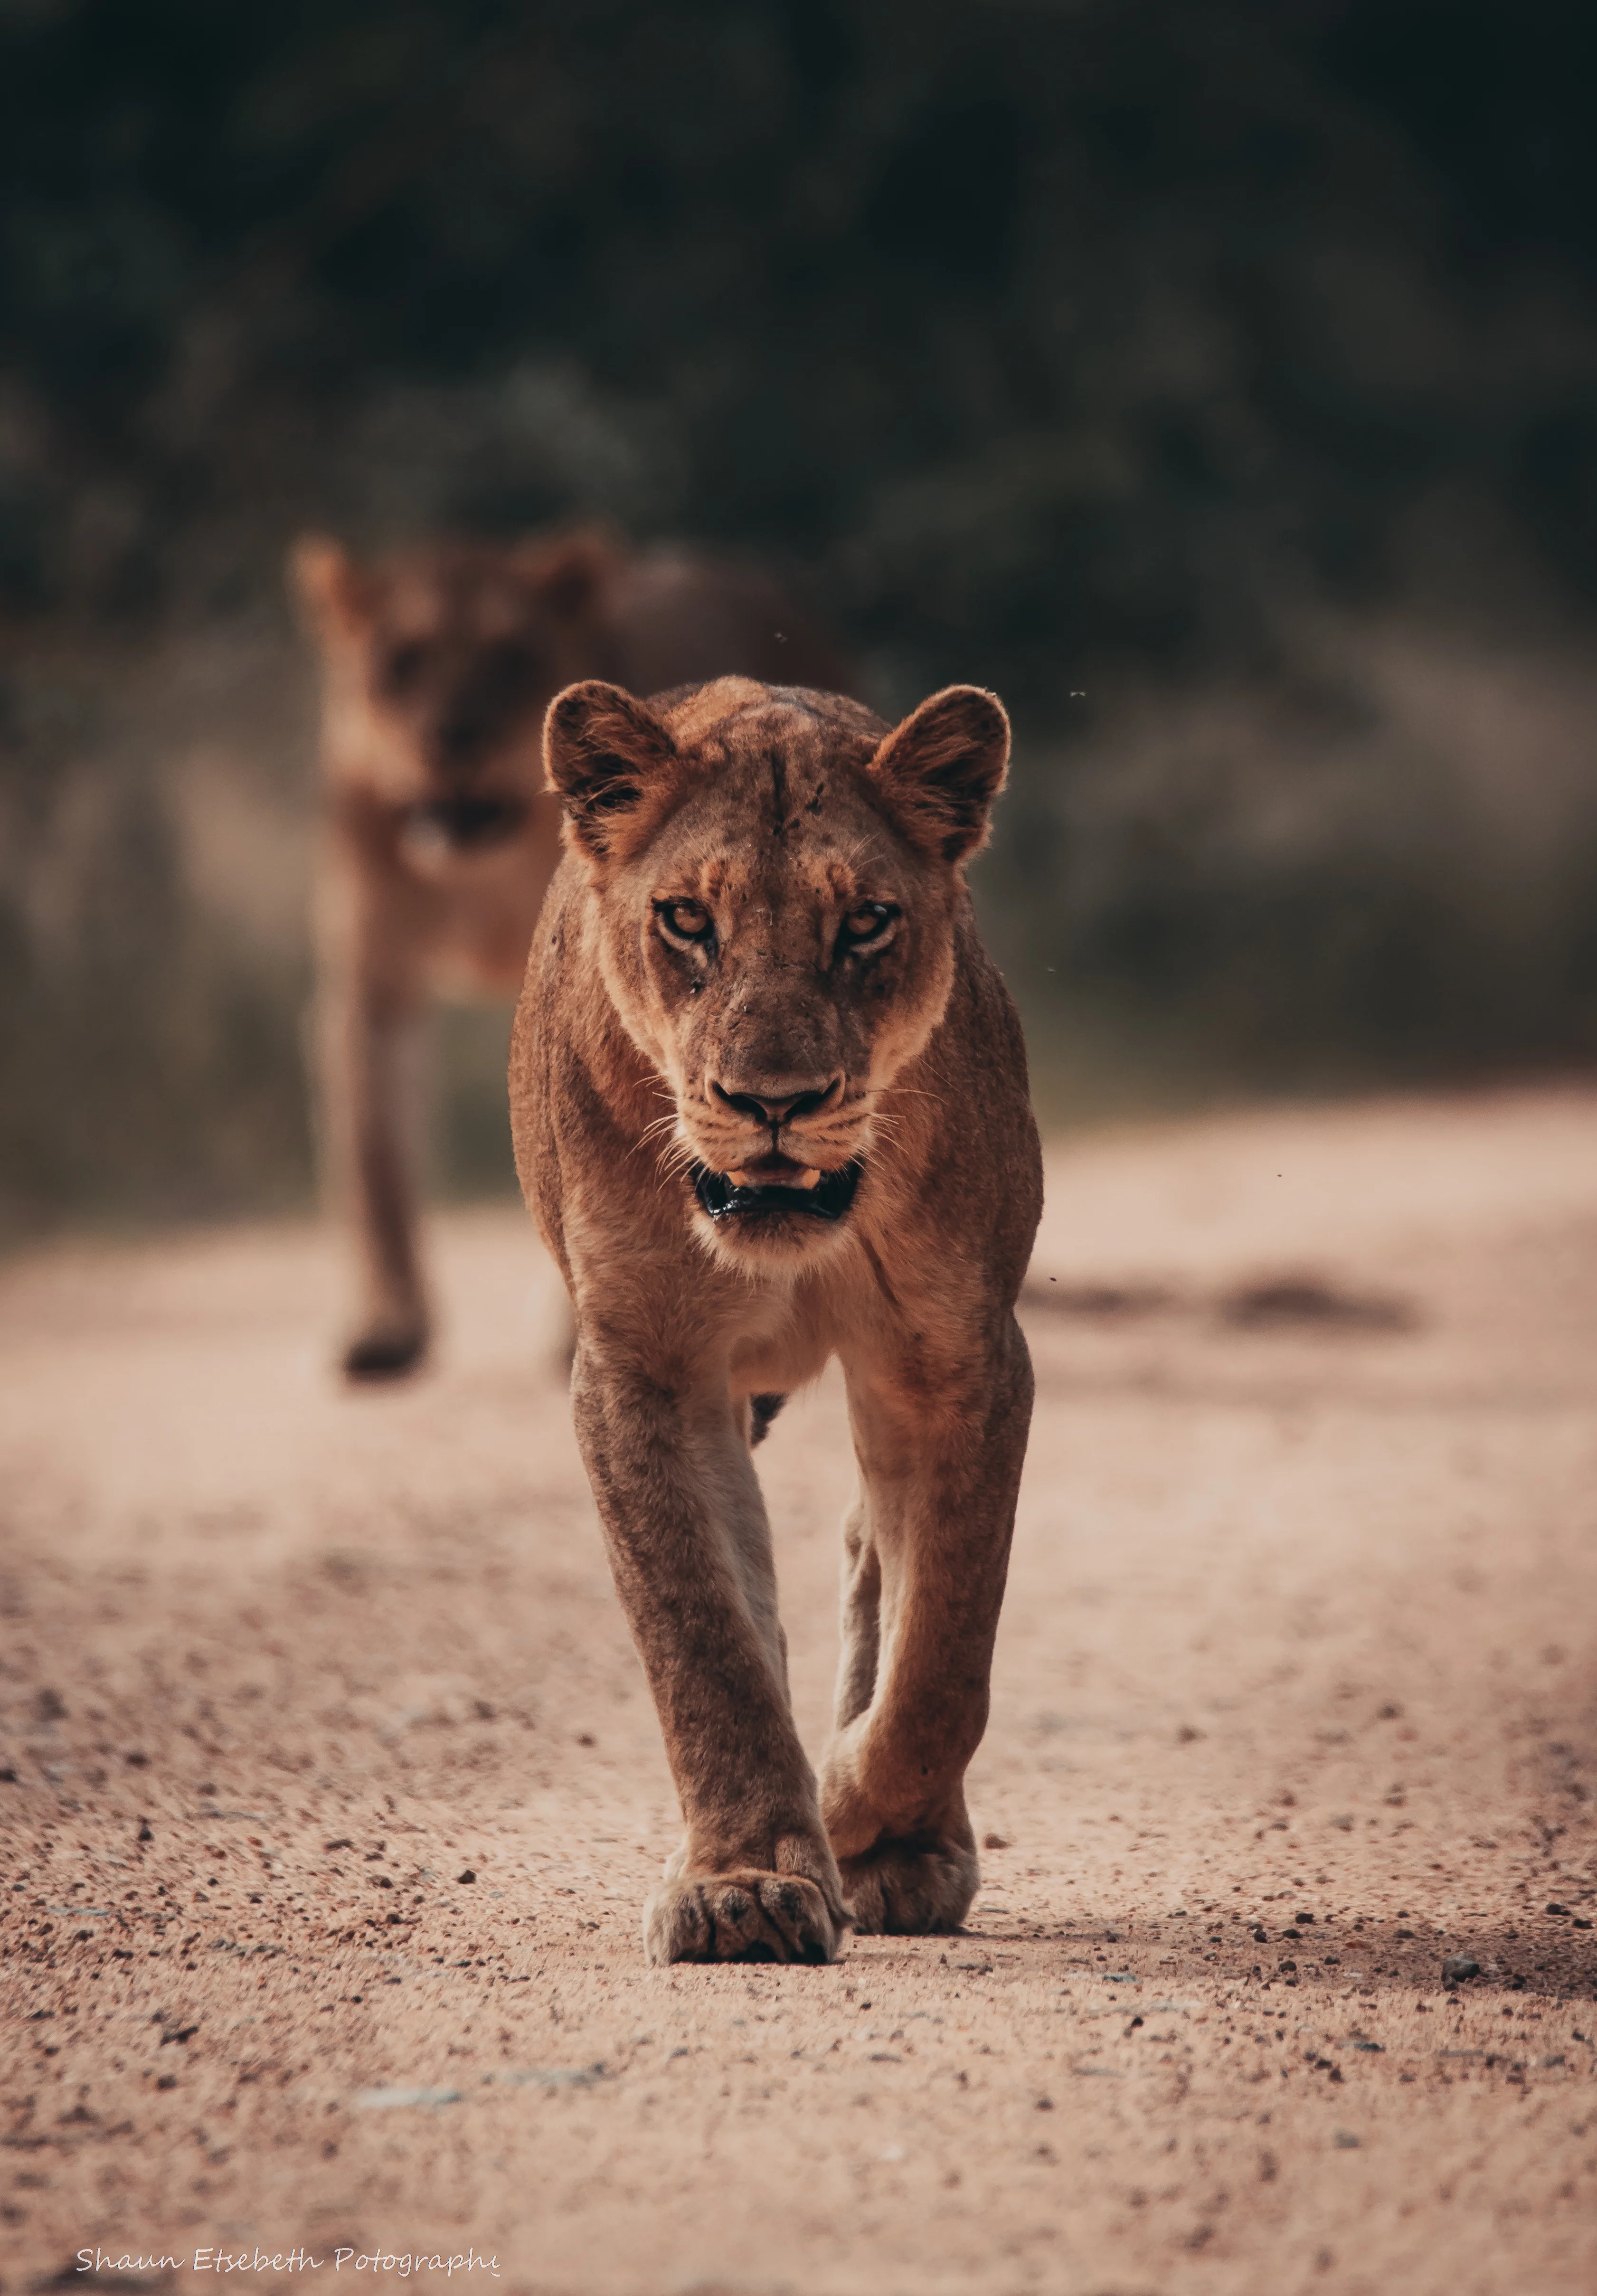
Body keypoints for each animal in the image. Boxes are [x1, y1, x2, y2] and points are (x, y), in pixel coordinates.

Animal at [292, 529, 849, 1379]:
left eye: (512, 656)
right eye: (401, 661)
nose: (452, 737)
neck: (481, 869)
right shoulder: (370, 988)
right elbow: (375, 1164)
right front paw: (385, 1326)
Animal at [509, 672, 1042, 1962]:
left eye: (865, 923)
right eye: (687, 920)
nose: (773, 1102)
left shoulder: (960, 1355)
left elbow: (943, 1651)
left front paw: (854, 1814)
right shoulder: (643, 1364)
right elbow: (702, 1633)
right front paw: (745, 1880)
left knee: (873, 1552)